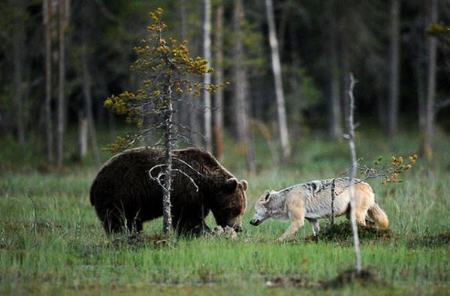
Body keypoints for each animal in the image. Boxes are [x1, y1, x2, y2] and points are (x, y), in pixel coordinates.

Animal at [89, 147, 248, 235]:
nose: (237, 228)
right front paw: (201, 232)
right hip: (117, 192)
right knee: (115, 219)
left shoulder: (200, 198)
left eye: (242, 210)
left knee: (132, 221)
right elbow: (188, 219)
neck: (206, 185)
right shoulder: (187, 191)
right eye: (234, 209)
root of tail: (95, 180)